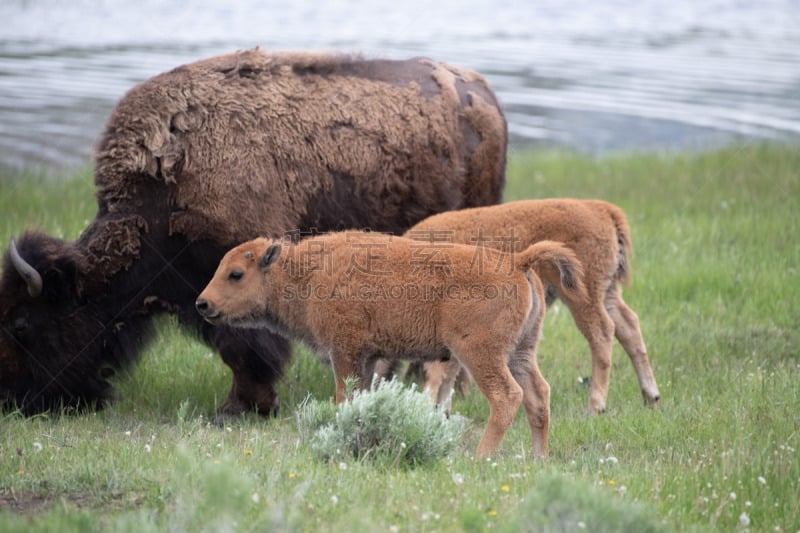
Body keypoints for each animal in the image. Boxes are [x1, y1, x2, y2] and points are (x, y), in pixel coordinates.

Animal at [0, 48, 506, 416]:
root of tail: (483, 95)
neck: (169, 180)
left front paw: (240, 408)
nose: (14, 402)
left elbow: (243, 347)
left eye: (23, 324)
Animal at [197, 230, 584, 458]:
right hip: (521, 352)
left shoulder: (345, 353)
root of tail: (517, 262)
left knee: (507, 396)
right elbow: (361, 396)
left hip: (481, 354)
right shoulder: (368, 358)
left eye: (235, 274)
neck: (307, 273)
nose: (202, 304)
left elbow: (344, 398)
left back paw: (479, 458)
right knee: (539, 396)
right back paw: (539, 460)